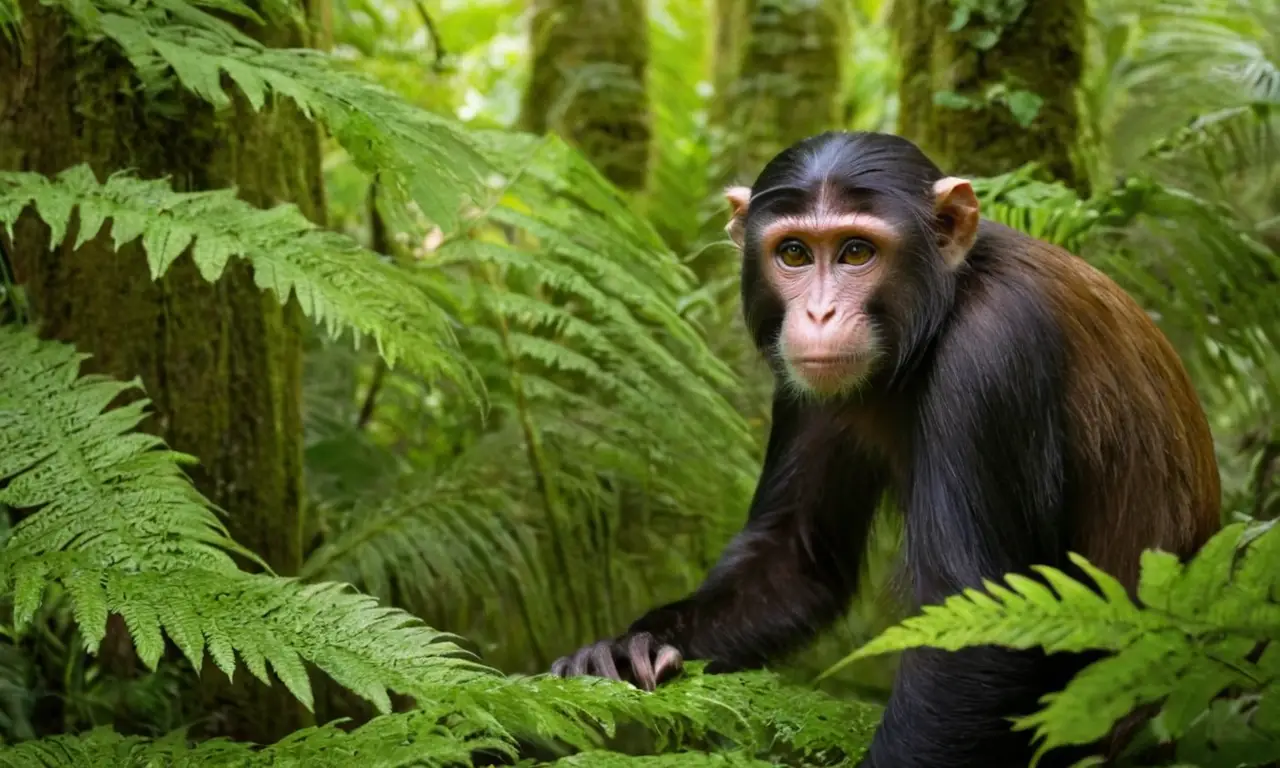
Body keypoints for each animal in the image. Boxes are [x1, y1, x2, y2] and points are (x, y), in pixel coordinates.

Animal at [548, 131, 1221, 767]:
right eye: (794, 253)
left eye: (856, 252)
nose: (819, 313)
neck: (939, 311)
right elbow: (794, 561)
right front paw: (628, 647)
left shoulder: (993, 354)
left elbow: (977, 639)